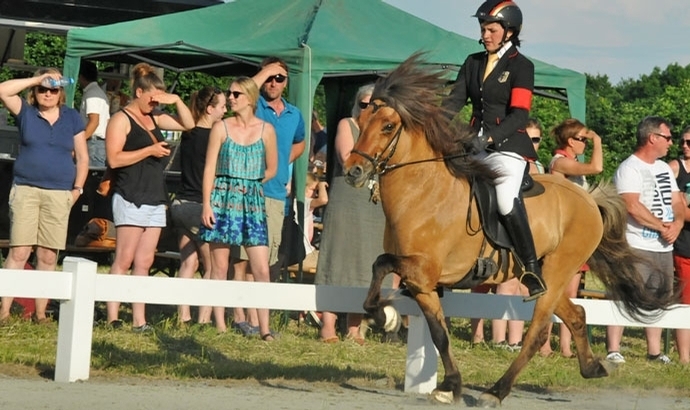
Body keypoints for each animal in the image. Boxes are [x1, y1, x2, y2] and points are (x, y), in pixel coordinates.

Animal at [342, 54, 676, 406]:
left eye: (388, 126)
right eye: (360, 122)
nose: (353, 171)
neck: (422, 191)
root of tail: (587, 199)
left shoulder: (423, 269)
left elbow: (380, 264)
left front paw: (385, 317)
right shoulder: (422, 283)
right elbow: (438, 333)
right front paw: (450, 385)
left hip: (558, 270)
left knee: (539, 331)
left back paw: (496, 391)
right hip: (549, 277)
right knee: (576, 314)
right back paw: (594, 368)